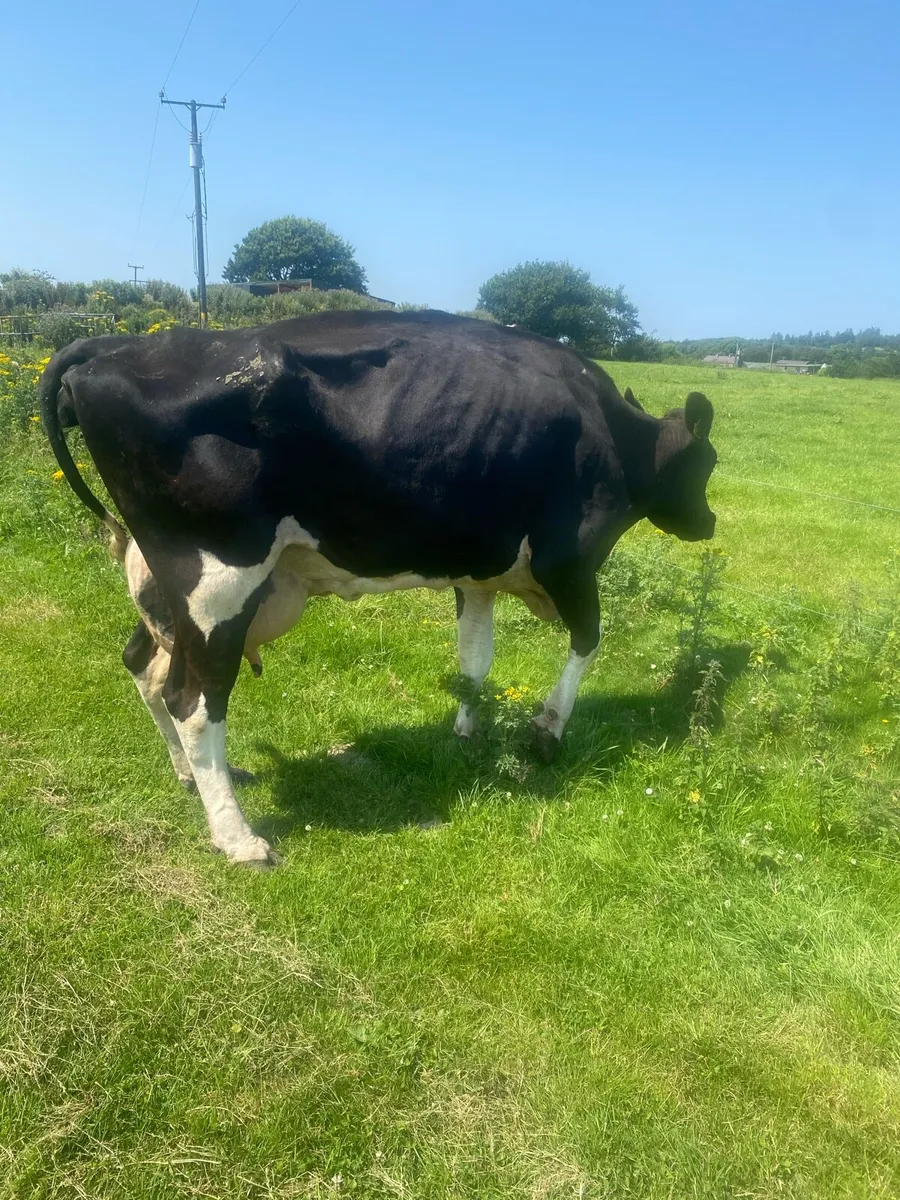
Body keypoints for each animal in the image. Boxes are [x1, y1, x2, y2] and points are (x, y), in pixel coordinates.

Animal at [40, 310, 717, 866]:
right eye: (706, 463)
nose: (708, 521)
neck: (615, 436)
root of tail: (120, 346)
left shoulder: (477, 573)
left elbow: (475, 659)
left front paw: (467, 732)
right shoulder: (569, 561)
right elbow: (588, 642)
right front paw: (547, 731)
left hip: (169, 586)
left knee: (144, 665)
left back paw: (188, 779)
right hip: (218, 583)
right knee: (193, 700)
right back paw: (238, 839)